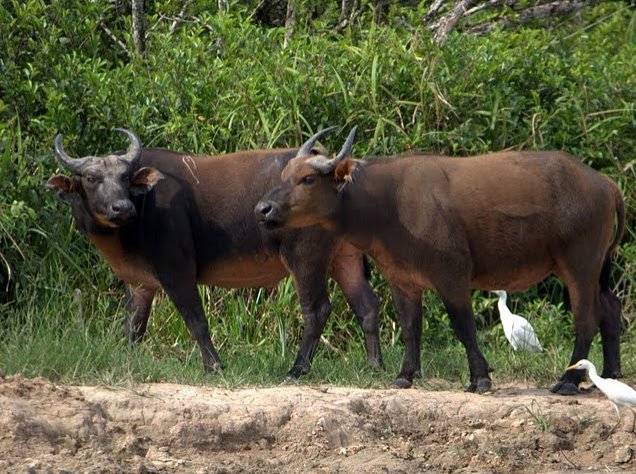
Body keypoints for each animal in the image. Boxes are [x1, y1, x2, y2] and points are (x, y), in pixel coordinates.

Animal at [47, 128, 386, 376]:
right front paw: (129, 361)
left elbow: (196, 319)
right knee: (367, 304)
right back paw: (374, 365)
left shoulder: (177, 271)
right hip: (345, 257)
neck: (143, 209)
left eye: (125, 178)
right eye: (91, 178)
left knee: (317, 309)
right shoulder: (140, 283)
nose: (122, 207)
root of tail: (338, 178)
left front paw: (214, 366)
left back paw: (297, 369)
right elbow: (134, 327)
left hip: (306, 258)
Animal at [258, 128, 628, 394]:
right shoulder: (402, 279)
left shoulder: (453, 276)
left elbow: (463, 327)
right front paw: (405, 375)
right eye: (284, 174)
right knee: (611, 309)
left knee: (586, 318)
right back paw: (611, 373)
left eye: (308, 179)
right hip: (597, 269)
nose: (263, 208)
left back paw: (568, 381)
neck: (388, 205)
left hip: (579, 265)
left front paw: (480, 378)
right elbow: (411, 328)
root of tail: (605, 183)